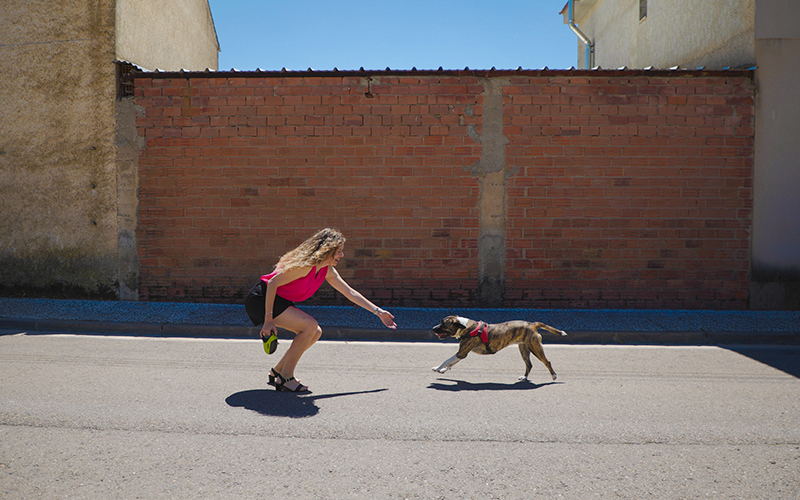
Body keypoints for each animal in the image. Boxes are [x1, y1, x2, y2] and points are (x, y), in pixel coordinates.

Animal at [432, 314, 568, 380]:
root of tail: (532, 324)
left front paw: (438, 367)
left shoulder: (461, 352)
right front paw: (443, 370)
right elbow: (451, 363)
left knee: (547, 362)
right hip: (524, 348)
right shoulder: (461, 354)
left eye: (443, 324)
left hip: (535, 347)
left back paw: (554, 376)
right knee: (529, 364)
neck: (466, 327)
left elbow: (447, 360)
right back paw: (524, 377)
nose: (433, 328)